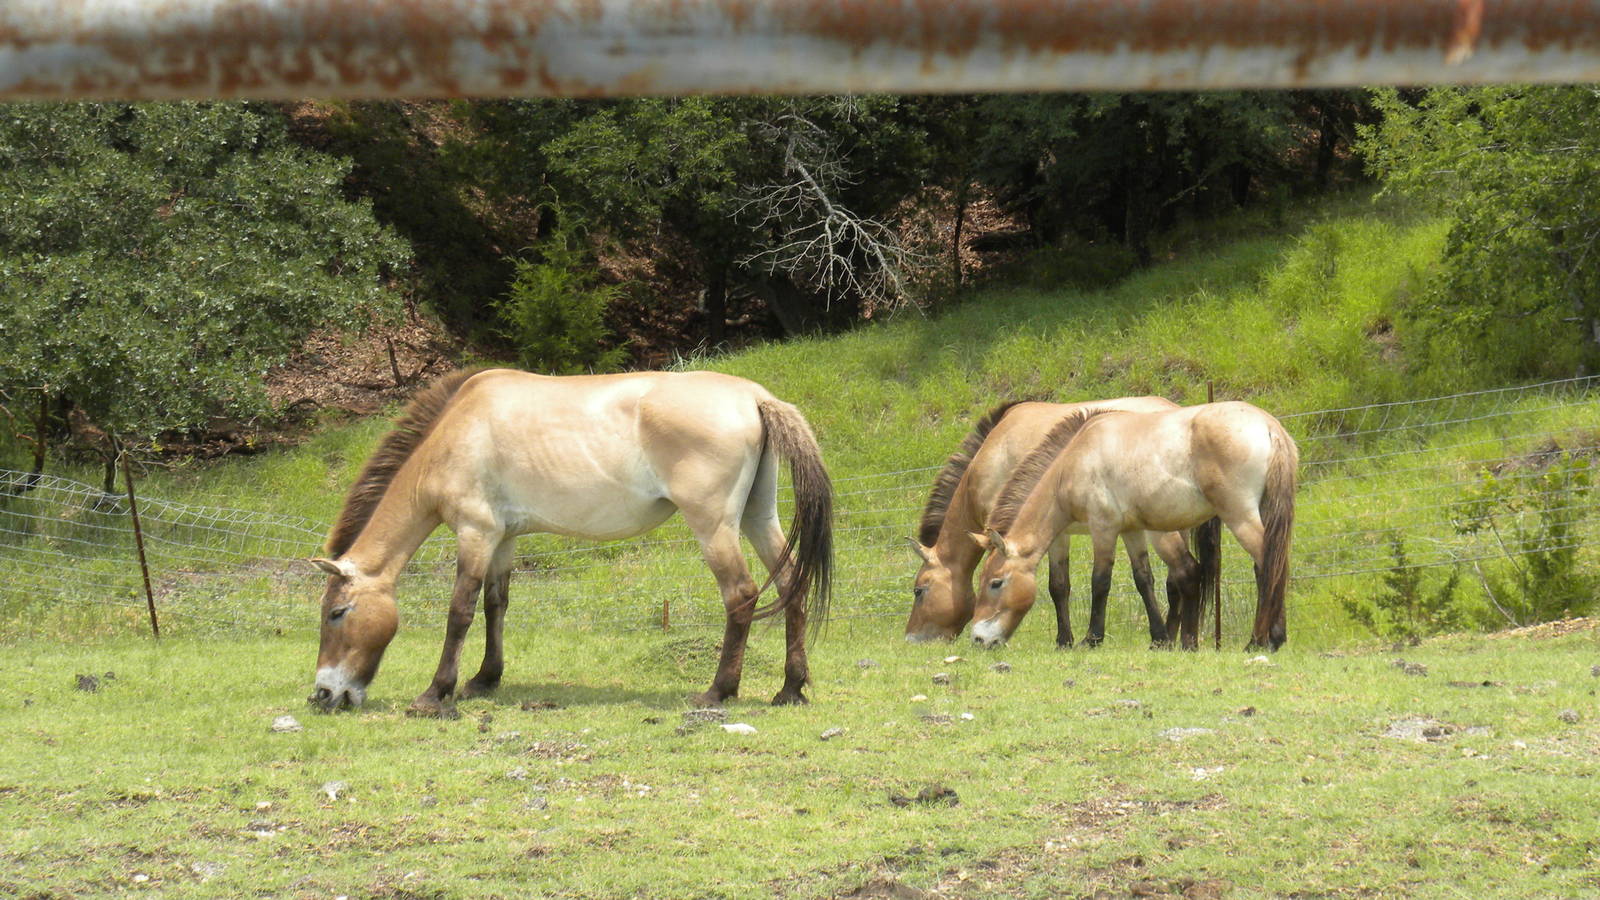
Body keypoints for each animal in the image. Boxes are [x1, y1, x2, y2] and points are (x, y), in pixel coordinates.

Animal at [306, 368, 833, 715]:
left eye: (337, 613)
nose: (324, 694)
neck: (457, 431)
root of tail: (754, 396)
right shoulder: (503, 538)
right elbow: (496, 605)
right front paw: (485, 679)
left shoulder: (475, 533)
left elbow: (460, 612)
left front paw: (436, 693)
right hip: (758, 517)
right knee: (791, 585)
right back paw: (790, 689)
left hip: (714, 526)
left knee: (741, 596)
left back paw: (718, 690)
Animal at [904, 397, 1208, 648]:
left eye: (919, 590)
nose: (912, 639)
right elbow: (1062, 584)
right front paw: (1066, 640)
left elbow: (1057, 586)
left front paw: (1067, 640)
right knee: (1173, 581)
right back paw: (1171, 637)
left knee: (1181, 573)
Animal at [973, 401, 1295, 651]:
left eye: (995, 582)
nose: (978, 638)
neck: (1076, 460)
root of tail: (1269, 426)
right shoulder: (1132, 531)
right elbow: (1143, 579)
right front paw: (1159, 638)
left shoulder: (1103, 527)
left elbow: (1100, 581)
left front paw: (1091, 638)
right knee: (1270, 565)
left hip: (1239, 515)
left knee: (1267, 564)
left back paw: (1260, 640)